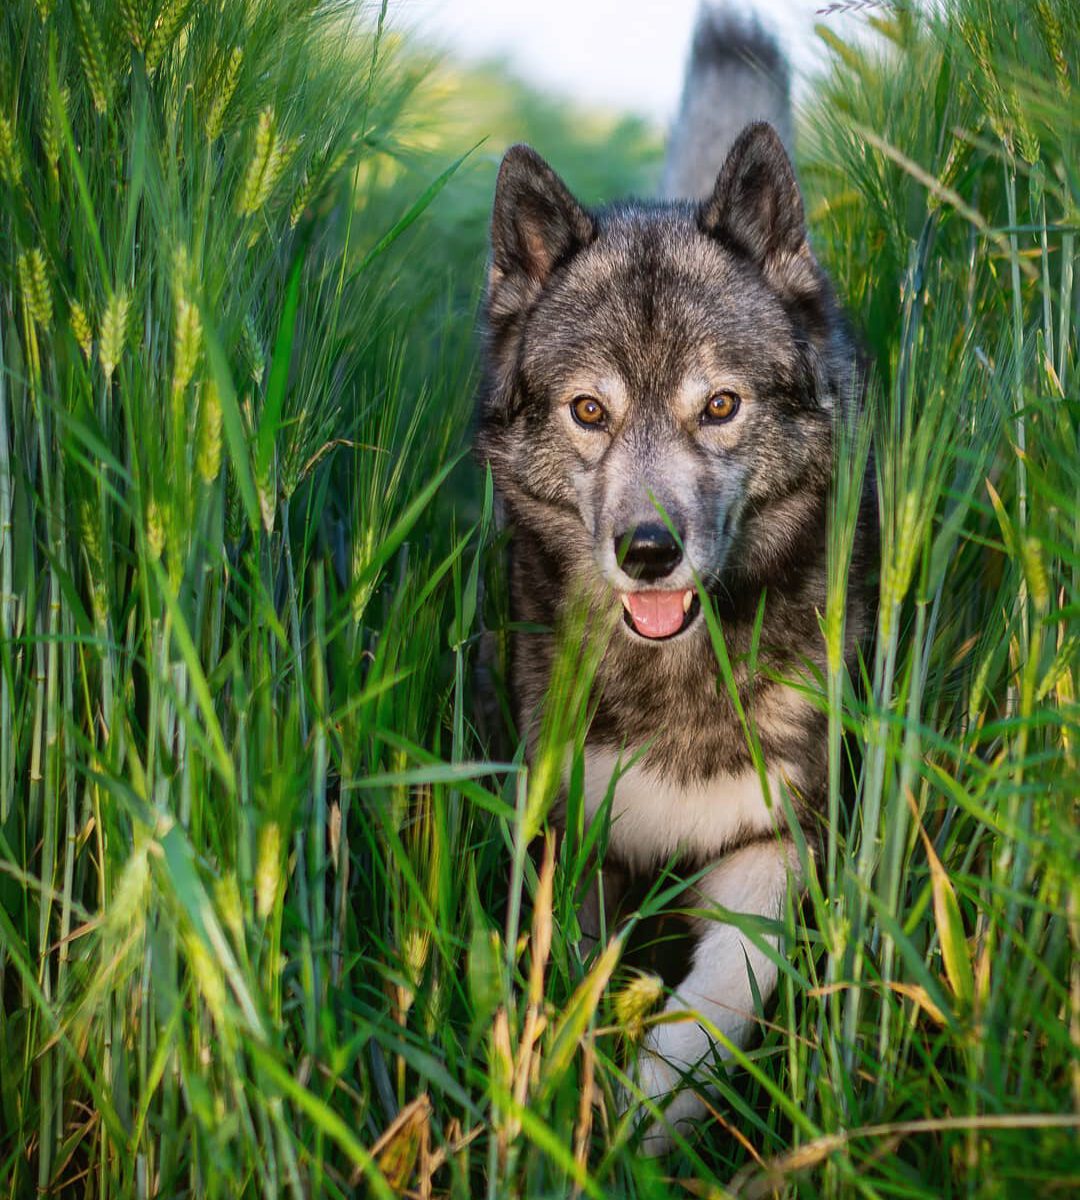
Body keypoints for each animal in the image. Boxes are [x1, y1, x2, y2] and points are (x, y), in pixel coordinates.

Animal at [475, 2, 878, 1152]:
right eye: (589, 412)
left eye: (720, 406)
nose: (647, 549)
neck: (675, 682)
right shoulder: (569, 837)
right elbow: (565, 984)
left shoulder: (775, 844)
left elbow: (716, 1006)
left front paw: (640, 1120)